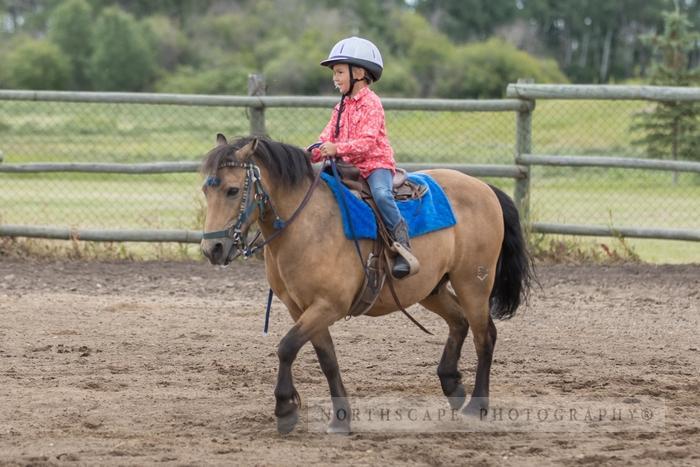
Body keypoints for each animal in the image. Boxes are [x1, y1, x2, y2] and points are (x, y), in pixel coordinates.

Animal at [200, 134, 532, 436]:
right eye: (205, 189)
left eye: (232, 190)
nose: (212, 249)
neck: (308, 224)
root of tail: (484, 187)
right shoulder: (302, 308)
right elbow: (327, 360)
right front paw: (340, 419)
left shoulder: (328, 306)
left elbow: (286, 347)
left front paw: (285, 409)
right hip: (430, 289)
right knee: (459, 322)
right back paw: (452, 385)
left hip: (473, 283)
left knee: (484, 336)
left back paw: (477, 406)